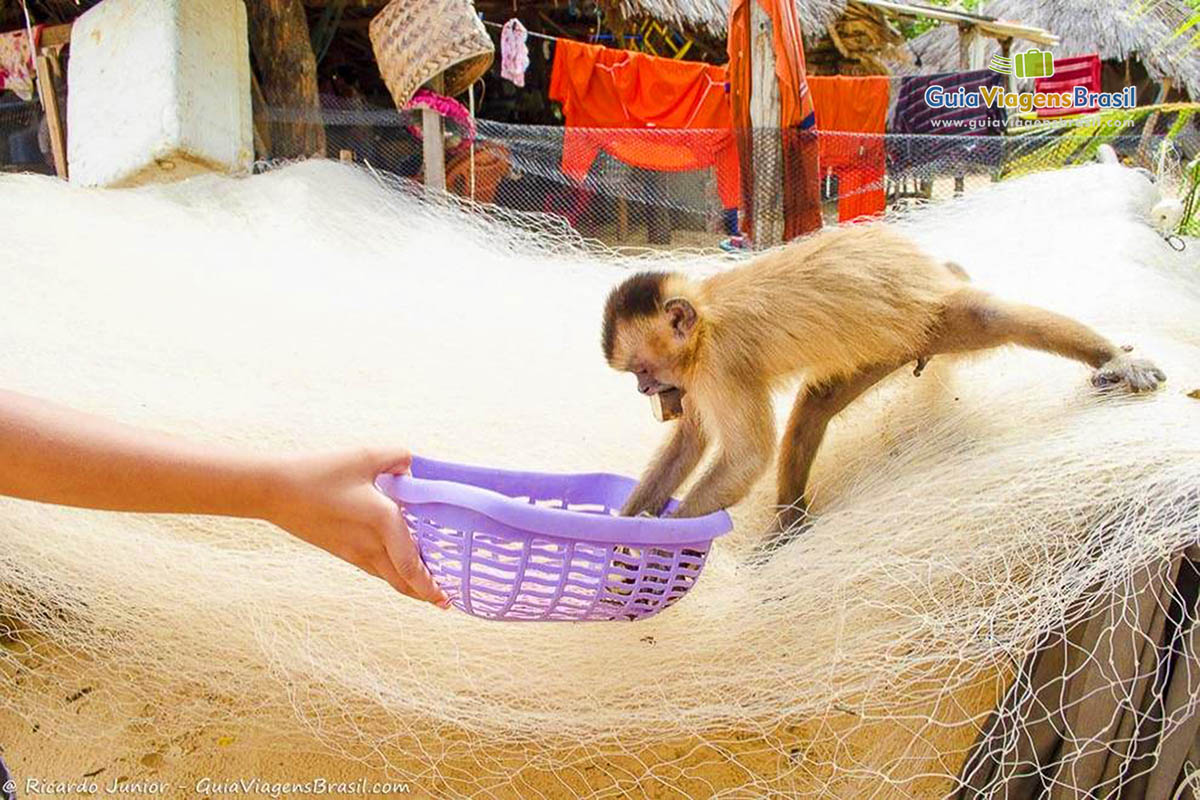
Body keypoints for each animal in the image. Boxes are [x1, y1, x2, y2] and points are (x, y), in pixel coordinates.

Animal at [604, 224, 1166, 532]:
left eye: (643, 373)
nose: (644, 391)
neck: (705, 318)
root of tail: (925, 273)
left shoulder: (720, 363)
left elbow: (746, 457)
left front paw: (654, 536)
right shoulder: (696, 376)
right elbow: (690, 442)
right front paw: (623, 524)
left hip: (934, 317)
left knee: (986, 315)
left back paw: (1109, 356)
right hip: (890, 344)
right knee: (815, 405)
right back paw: (790, 520)